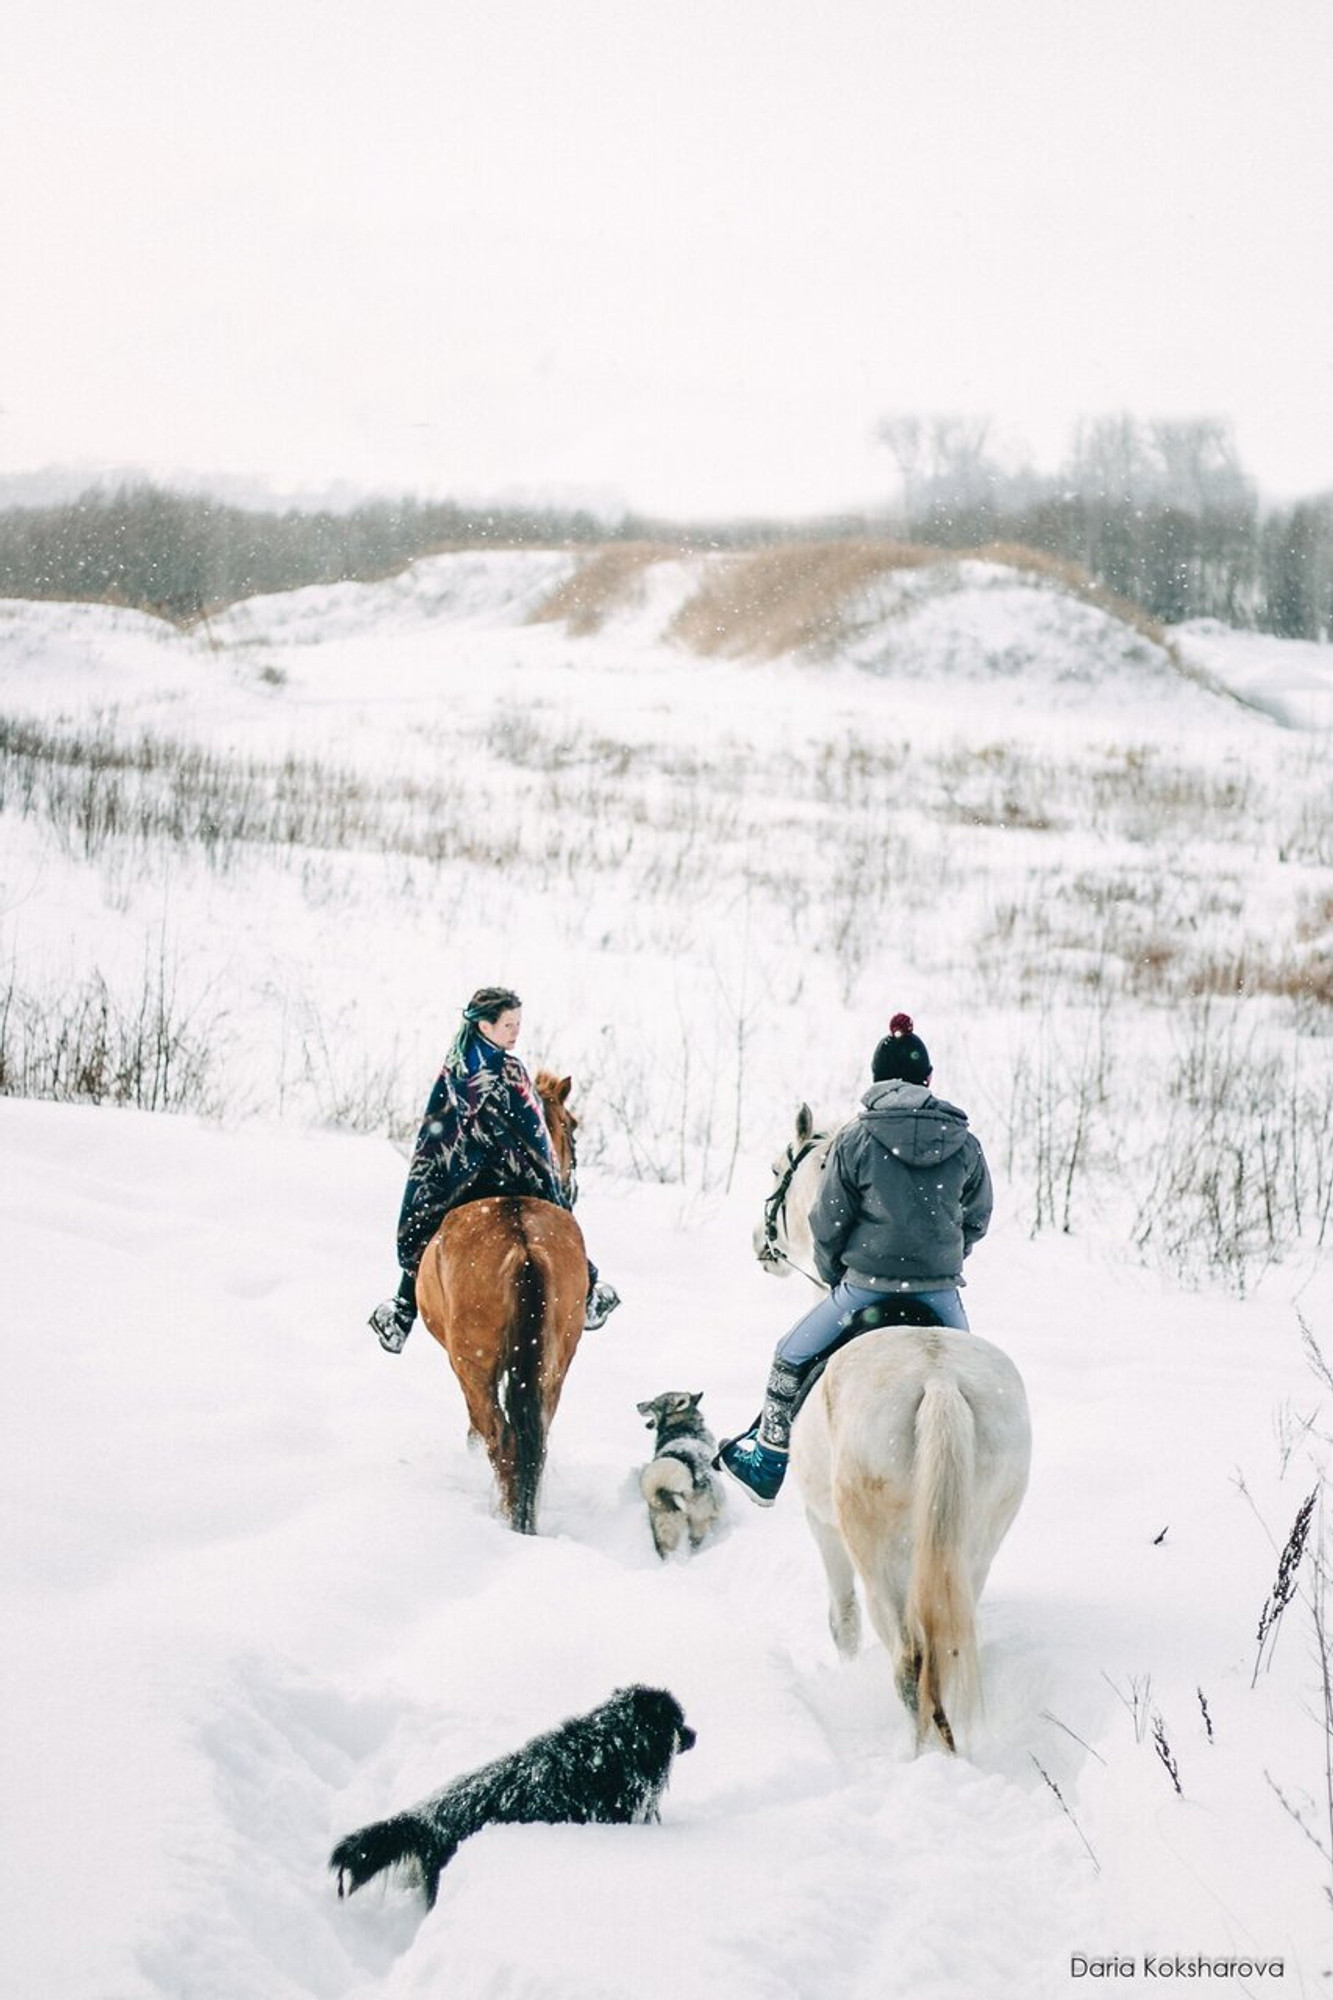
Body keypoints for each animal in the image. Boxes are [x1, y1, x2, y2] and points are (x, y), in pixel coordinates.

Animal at [412, 1080, 584, 1528]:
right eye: (573, 1126)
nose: (572, 1187)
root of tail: (523, 1245)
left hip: (473, 1362)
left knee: (500, 1438)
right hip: (553, 1365)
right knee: (534, 1441)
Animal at [756, 1112, 1024, 1752]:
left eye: (778, 1169)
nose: (760, 1245)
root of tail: (939, 1382)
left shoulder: (822, 1524)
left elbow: (843, 1623)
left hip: (878, 1552)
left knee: (908, 1658)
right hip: (974, 1543)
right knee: (948, 1645)